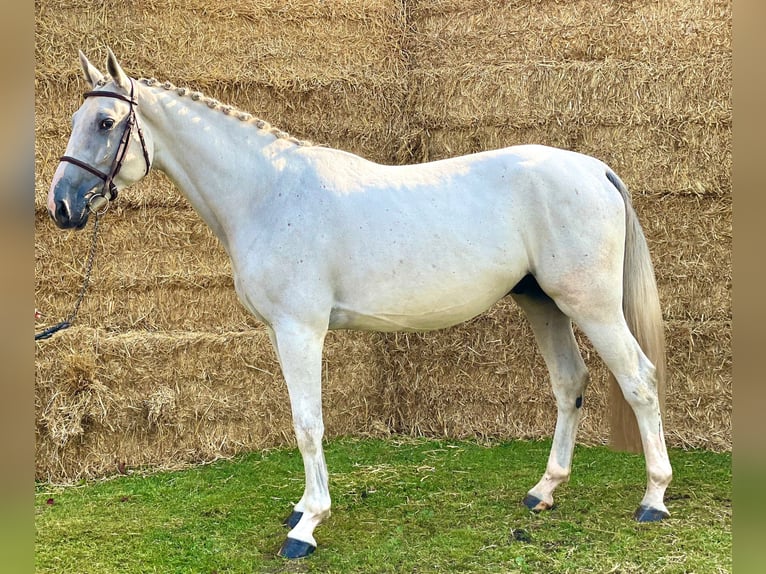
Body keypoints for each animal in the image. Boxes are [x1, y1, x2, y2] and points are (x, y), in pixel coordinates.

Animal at [46, 51, 672, 560]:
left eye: (105, 122)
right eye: (78, 121)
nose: (62, 206)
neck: (268, 193)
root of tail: (595, 169)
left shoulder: (300, 330)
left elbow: (308, 424)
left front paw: (306, 527)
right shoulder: (281, 332)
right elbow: (303, 421)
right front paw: (304, 508)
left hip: (590, 306)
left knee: (639, 380)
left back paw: (653, 498)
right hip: (544, 303)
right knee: (570, 382)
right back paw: (544, 491)